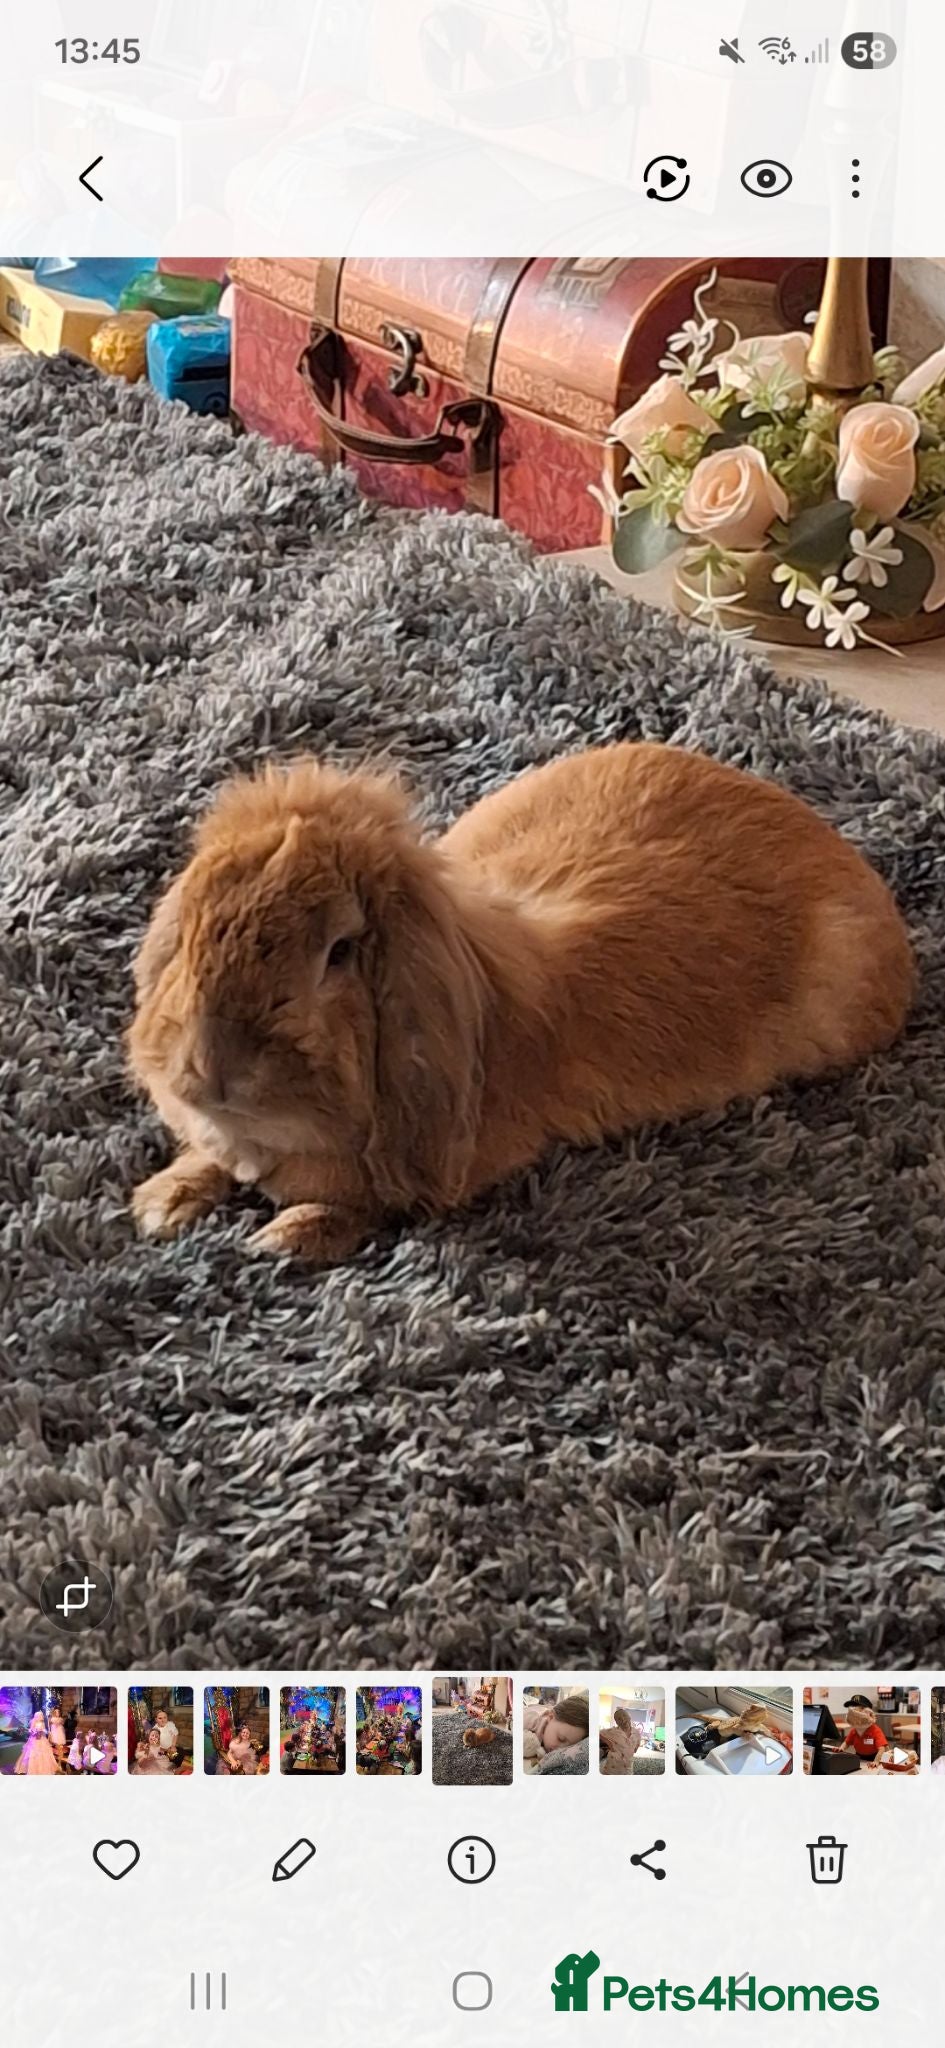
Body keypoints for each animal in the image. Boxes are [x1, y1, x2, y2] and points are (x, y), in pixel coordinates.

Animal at [127, 740, 914, 1263]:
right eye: (191, 926)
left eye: (340, 952)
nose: (210, 1071)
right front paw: (162, 1206)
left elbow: (361, 1205)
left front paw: (282, 1240)